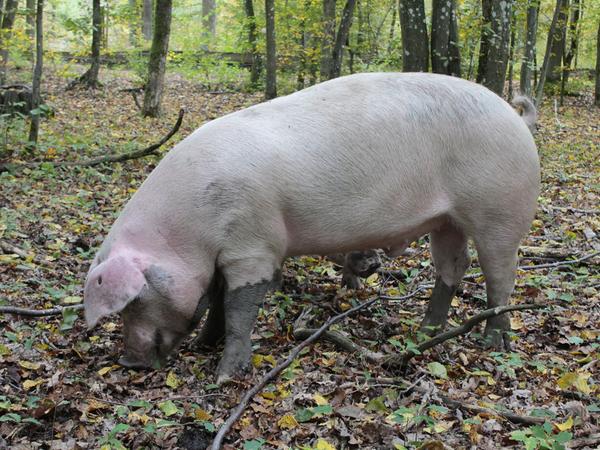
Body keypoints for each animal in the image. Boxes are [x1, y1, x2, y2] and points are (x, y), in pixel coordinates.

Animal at [83, 72, 540, 382]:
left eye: (134, 301)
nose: (127, 360)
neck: (187, 230)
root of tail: (515, 117)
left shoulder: (253, 246)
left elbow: (238, 308)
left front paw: (226, 375)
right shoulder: (224, 257)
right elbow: (216, 302)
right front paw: (201, 345)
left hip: (500, 210)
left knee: (502, 276)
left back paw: (493, 343)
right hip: (446, 220)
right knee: (453, 266)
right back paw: (425, 330)